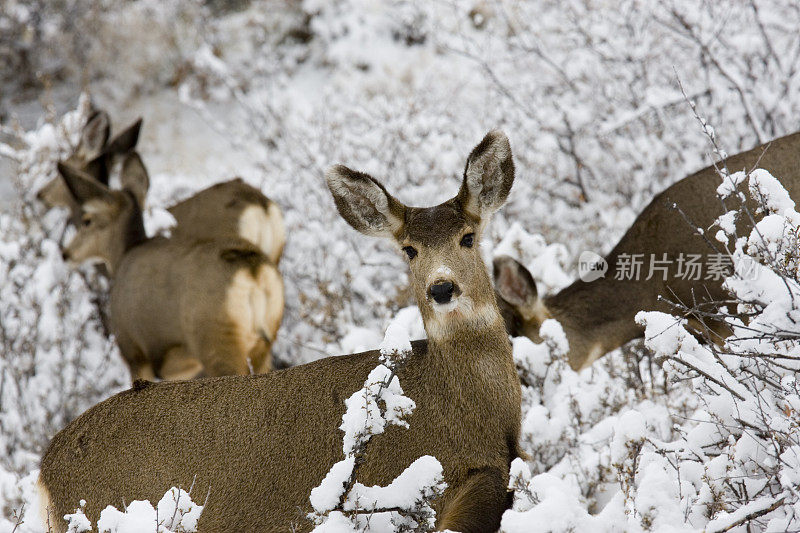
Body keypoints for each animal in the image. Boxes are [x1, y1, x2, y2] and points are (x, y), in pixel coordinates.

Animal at [57, 153, 282, 378]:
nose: (66, 253)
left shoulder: (133, 350)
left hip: (215, 337)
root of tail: (253, 272)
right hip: (264, 340)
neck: (125, 253)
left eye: (87, 220)